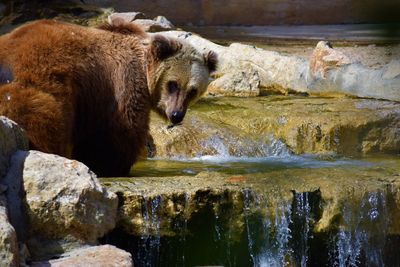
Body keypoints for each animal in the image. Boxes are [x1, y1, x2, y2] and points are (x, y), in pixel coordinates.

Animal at [0, 19, 217, 178]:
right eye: (173, 84)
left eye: (193, 91)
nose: (176, 114)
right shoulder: (120, 84)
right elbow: (119, 133)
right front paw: (113, 166)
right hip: (40, 85)